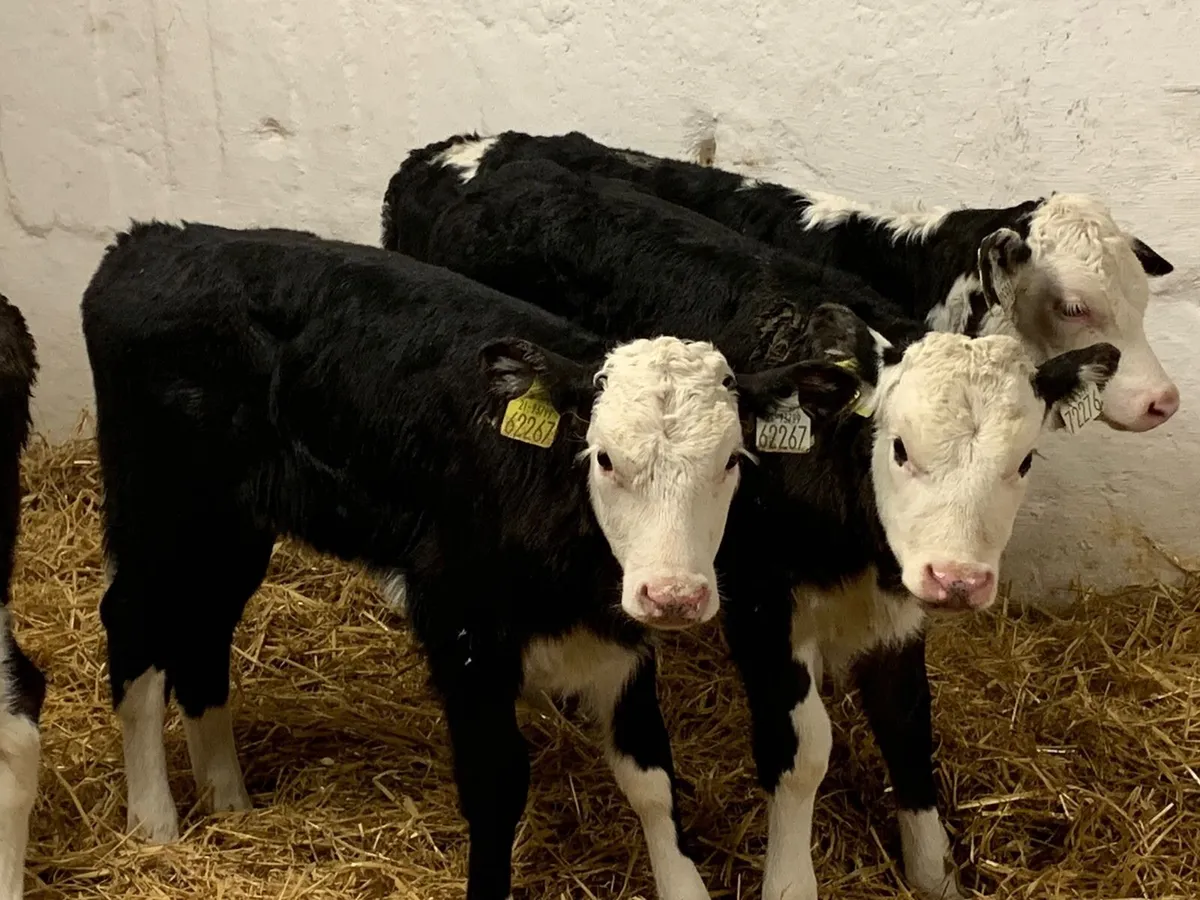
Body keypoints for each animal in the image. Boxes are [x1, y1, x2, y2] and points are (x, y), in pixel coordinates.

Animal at [79, 221, 860, 900]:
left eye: (732, 460)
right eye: (604, 458)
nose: (674, 595)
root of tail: (150, 241)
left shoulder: (620, 637)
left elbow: (651, 777)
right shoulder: (460, 624)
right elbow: (496, 785)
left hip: (233, 527)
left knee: (202, 631)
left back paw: (229, 800)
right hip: (159, 507)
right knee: (134, 625)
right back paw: (154, 820)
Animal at [378, 157, 1121, 899]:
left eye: (1023, 460)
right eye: (900, 448)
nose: (958, 579)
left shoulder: (895, 608)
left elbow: (909, 725)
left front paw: (933, 874)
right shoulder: (761, 601)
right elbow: (803, 750)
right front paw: (790, 881)